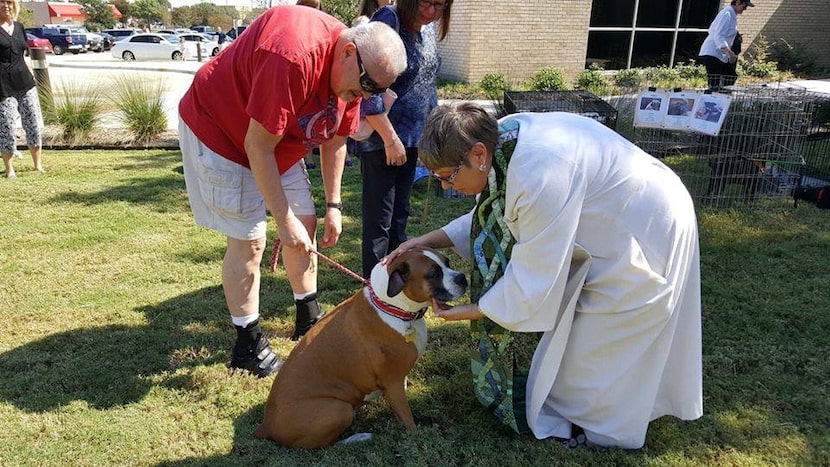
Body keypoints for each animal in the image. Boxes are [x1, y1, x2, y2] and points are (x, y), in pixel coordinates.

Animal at [254, 249, 468, 450]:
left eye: (447, 262)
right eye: (433, 273)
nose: (462, 277)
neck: (392, 307)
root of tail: (266, 425)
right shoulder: (392, 382)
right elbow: (406, 416)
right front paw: (416, 435)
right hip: (339, 410)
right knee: (324, 446)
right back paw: (358, 438)